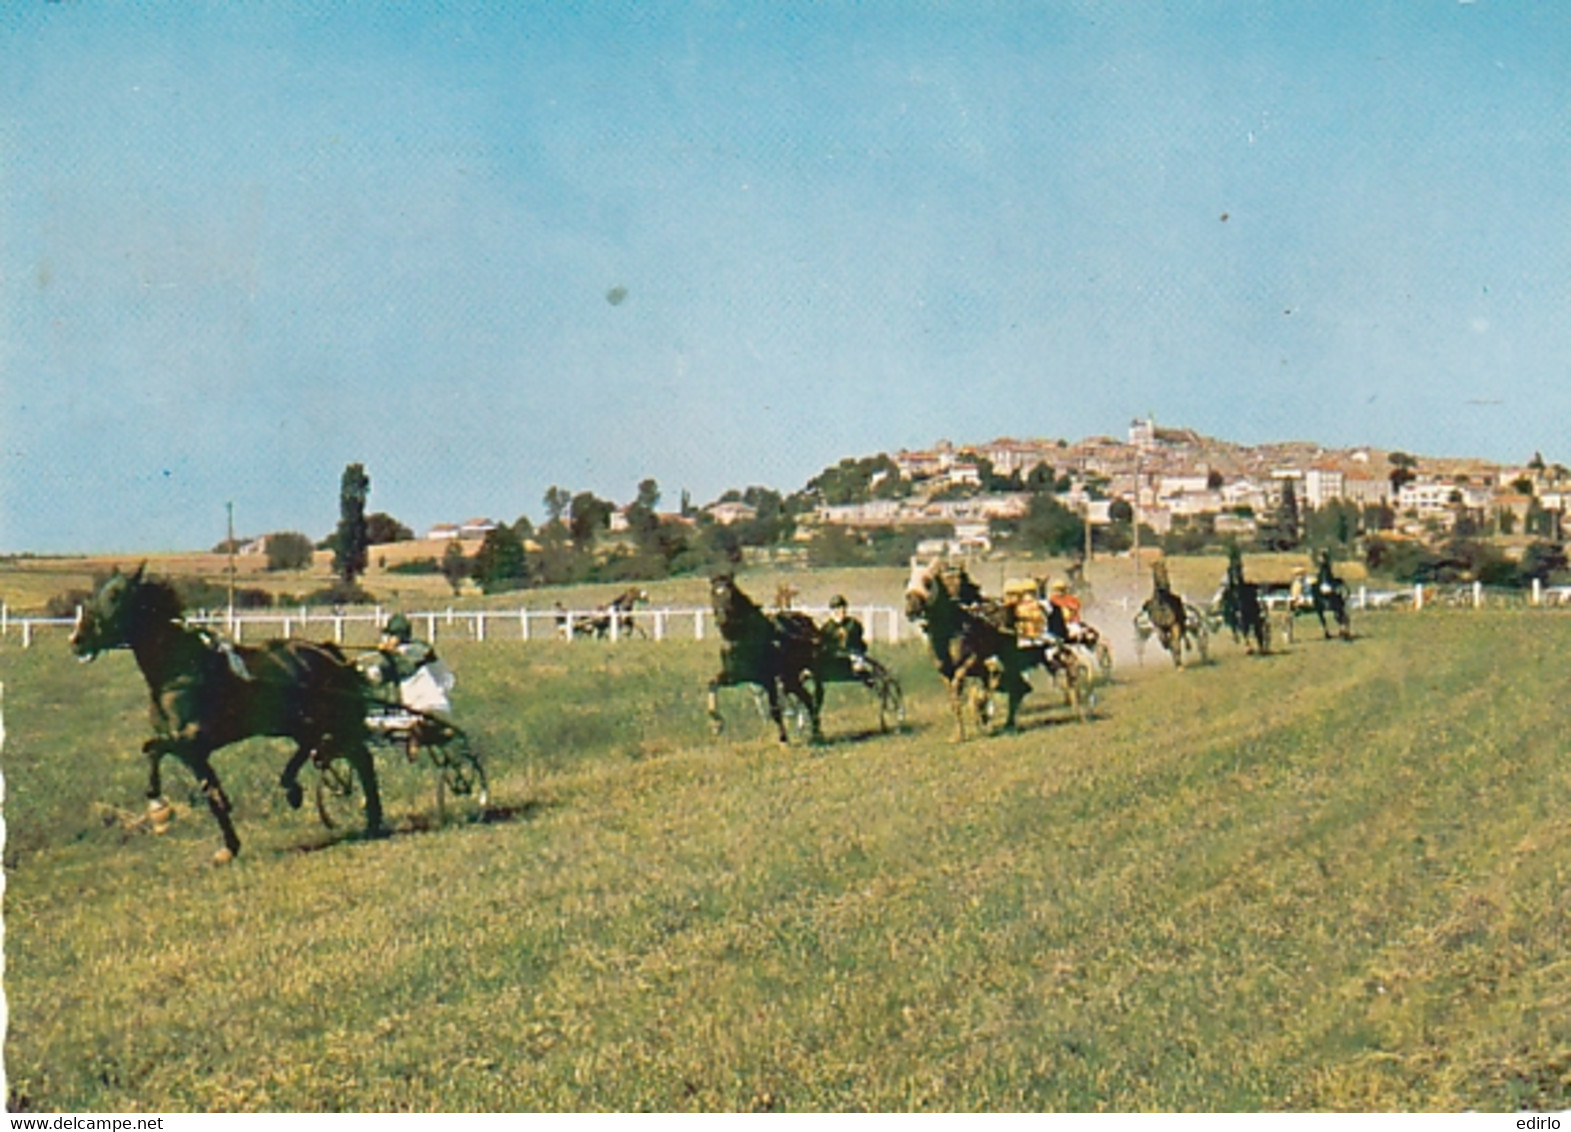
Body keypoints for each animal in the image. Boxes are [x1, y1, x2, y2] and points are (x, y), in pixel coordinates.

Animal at [69, 562, 383, 860]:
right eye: (96, 593)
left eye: (115, 595)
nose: (77, 640)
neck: (181, 671)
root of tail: (327, 652)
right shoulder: (193, 754)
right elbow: (211, 795)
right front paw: (229, 847)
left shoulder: (194, 739)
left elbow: (153, 749)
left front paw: (158, 807)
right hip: (298, 723)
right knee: (328, 750)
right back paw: (303, 790)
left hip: (327, 719)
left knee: (358, 758)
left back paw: (364, 818)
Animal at [703, 574, 823, 741]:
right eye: (713, 593)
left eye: (731, 594)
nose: (722, 619)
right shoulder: (735, 675)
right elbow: (712, 684)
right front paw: (716, 723)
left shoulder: (769, 679)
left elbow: (775, 709)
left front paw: (783, 738)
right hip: (791, 679)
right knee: (806, 698)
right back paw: (814, 732)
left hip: (797, 675)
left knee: (810, 698)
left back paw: (815, 730)